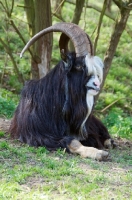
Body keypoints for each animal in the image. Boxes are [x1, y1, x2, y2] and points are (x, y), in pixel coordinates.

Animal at [9, 22, 114, 161]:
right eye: (79, 66)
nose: (97, 84)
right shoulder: (40, 136)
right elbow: (72, 141)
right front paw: (98, 153)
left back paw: (110, 142)